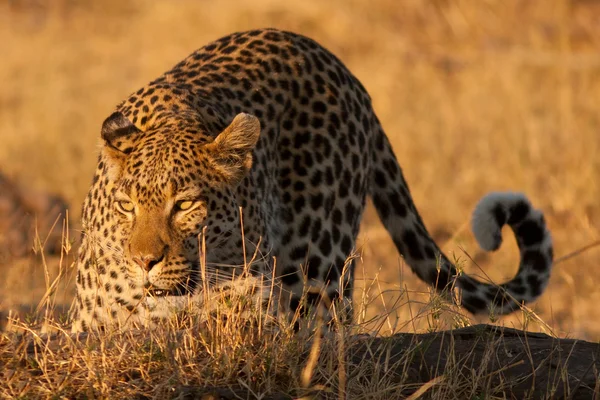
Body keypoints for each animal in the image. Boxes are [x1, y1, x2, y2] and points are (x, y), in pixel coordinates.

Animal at [70, 28, 552, 332]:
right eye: (127, 206)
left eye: (184, 205)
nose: (144, 262)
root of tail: (343, 69)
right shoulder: (91, 325)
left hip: (319, 269)